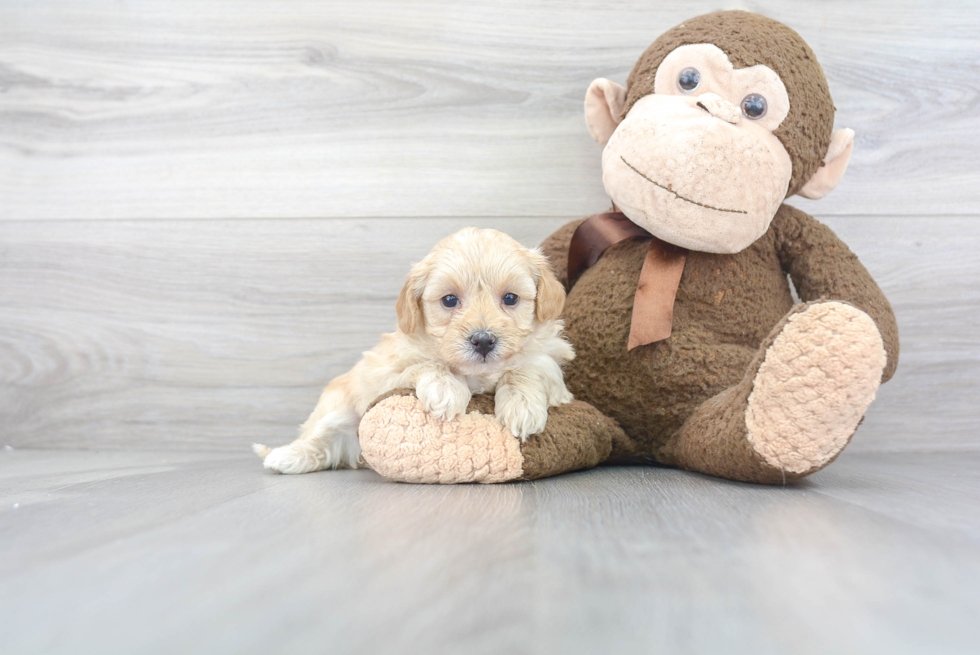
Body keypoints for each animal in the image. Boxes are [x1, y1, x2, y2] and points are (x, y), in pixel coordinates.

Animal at [253, 228, 576, 474]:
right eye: (449, 300)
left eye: (510, 298)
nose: (483, 340)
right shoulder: (383, 370)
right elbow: (424, 364)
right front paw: (446, 389)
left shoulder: (550, 360)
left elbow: (527, 367)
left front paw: (522, 407)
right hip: (336, 407)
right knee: (319, 438)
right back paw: (285, 456)